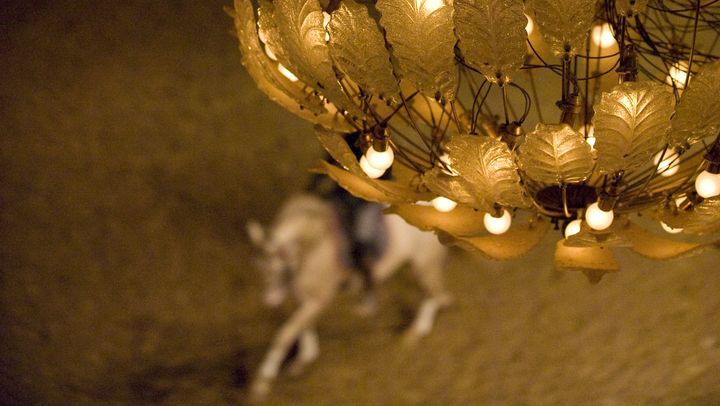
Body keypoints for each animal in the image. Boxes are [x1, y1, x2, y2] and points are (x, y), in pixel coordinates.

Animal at [248, 193, 450, 396]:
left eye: (282, 268)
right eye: (262, 269)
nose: (271, 300)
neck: (311, 245)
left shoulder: (319, 299)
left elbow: (285, 334)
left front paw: (261, 382)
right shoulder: (301, 297)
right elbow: (303, 328)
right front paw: (304, 359)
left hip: (424, 263)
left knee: (432, 294)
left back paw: (416, 331)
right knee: (433, 292)